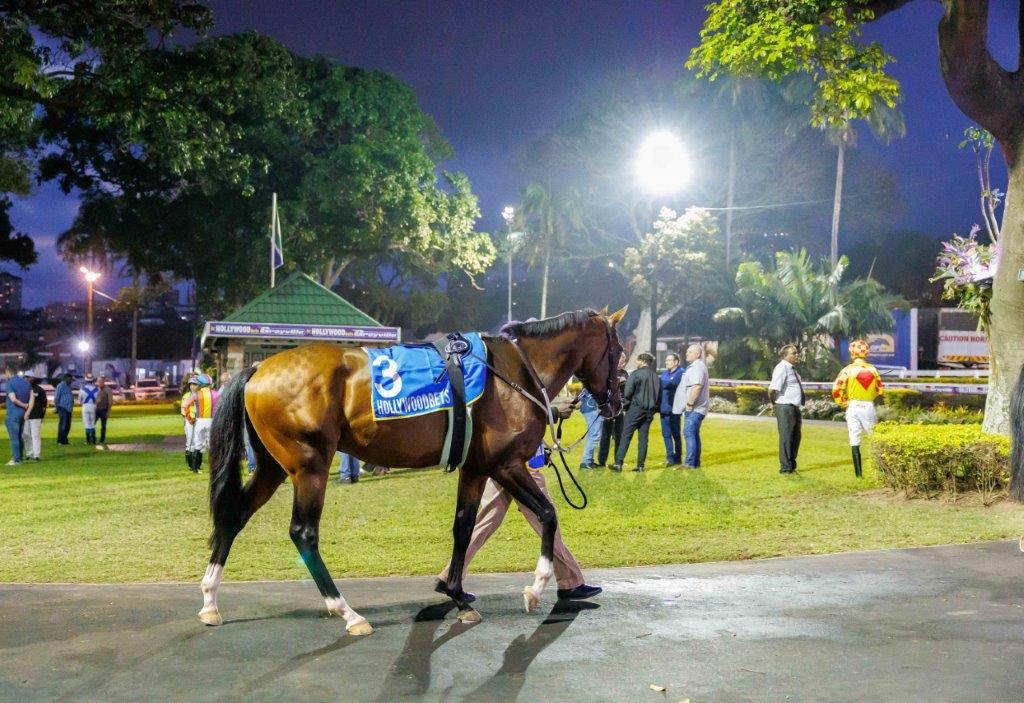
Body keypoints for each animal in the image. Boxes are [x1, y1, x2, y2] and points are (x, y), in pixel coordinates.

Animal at [196, 304, 626, 634]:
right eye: (618, 350)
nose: (616, 403)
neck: (515, 372)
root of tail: (257, 369)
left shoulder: (476, 468)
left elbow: (464, 527)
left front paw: (457, 595)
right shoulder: (506, 464)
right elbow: (548, 514)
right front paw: (535, 590)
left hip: (272, 466)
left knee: (234, 516)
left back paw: (210, 601)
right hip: (309, 464)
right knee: (303, 532)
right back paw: (347, 612)